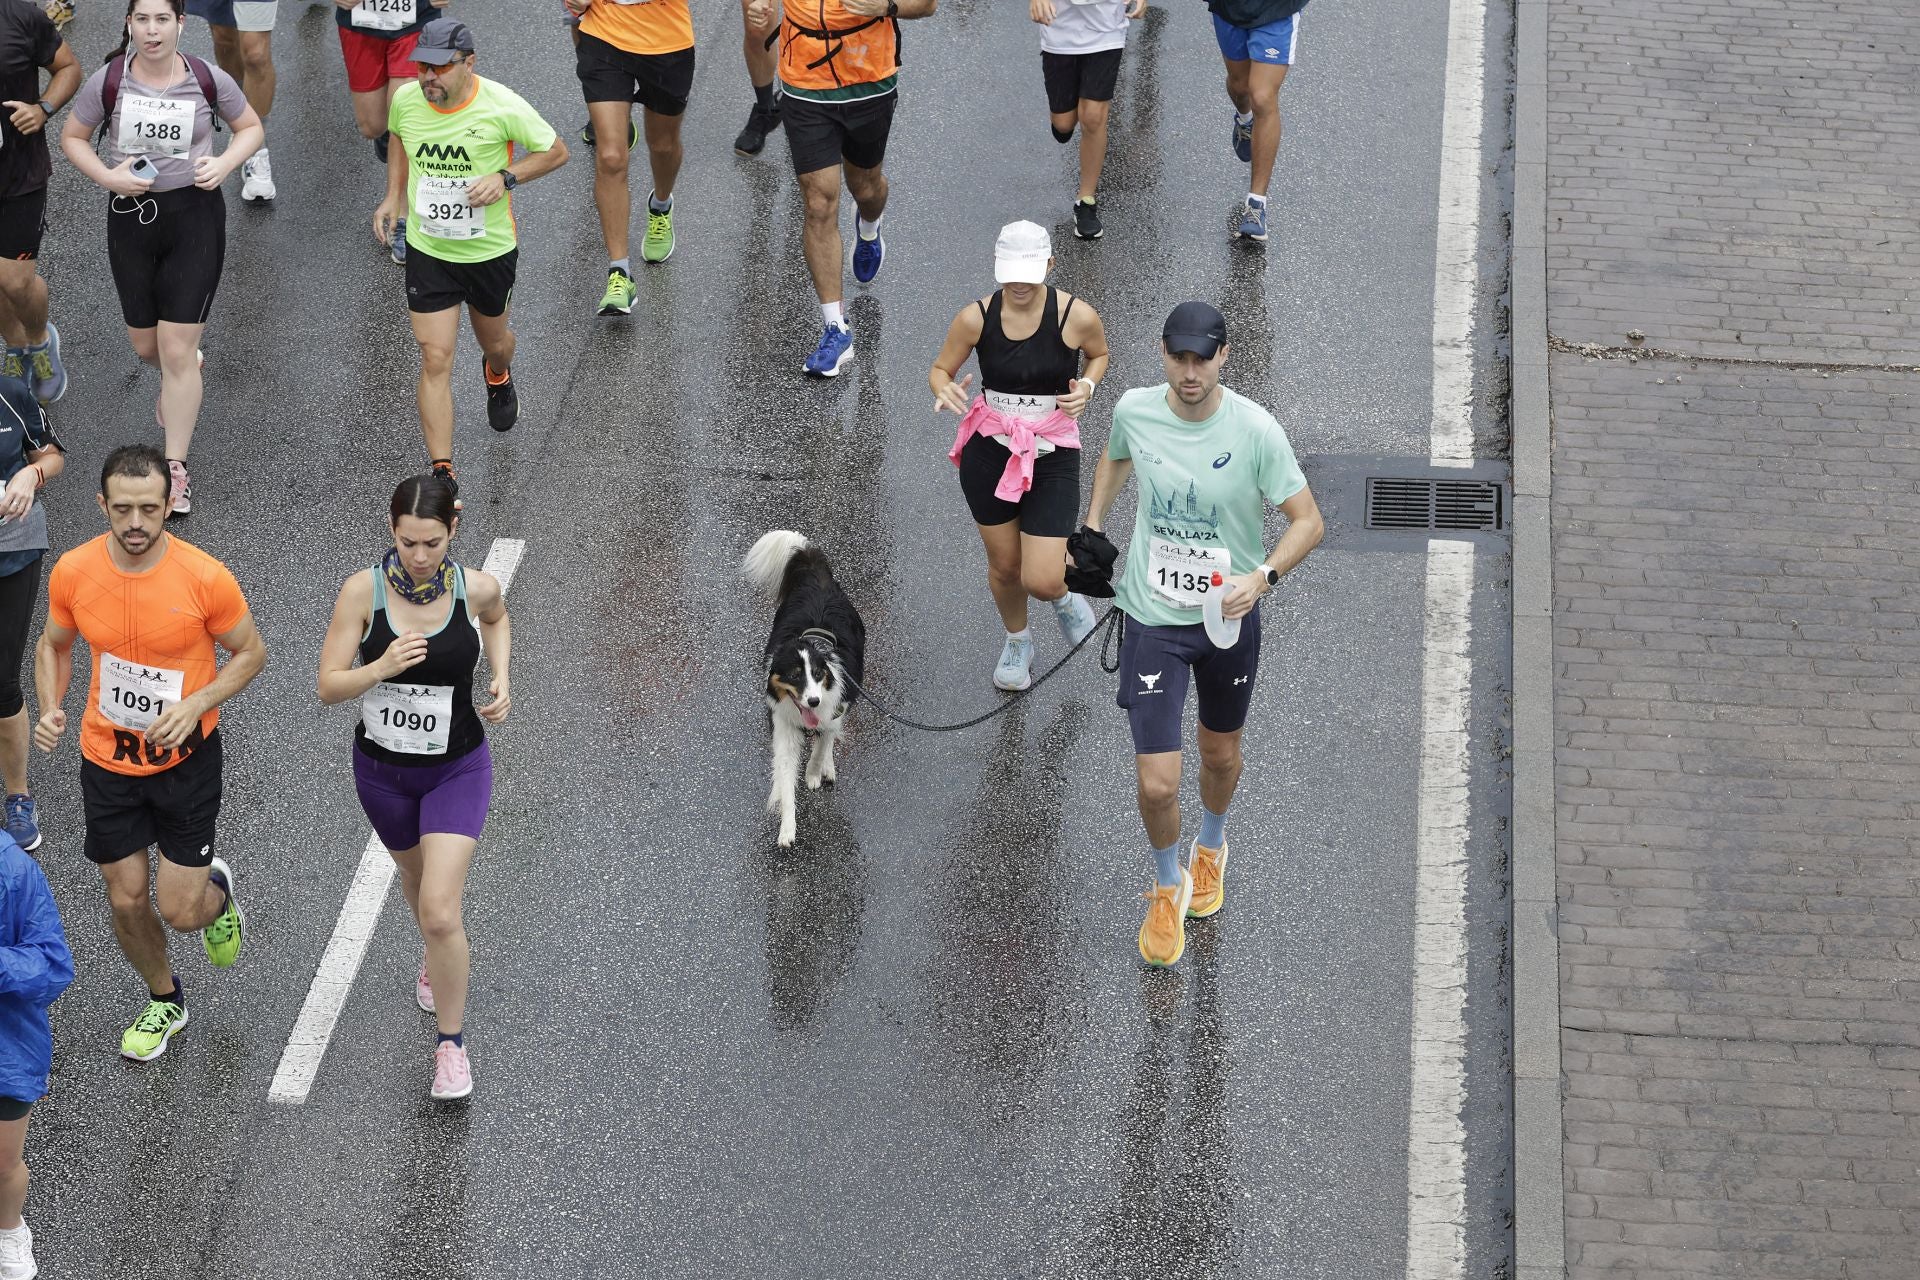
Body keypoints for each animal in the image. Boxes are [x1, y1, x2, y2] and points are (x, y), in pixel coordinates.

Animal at [737, 533, 867, 852]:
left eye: (818, 674)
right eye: (795, 676)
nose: (813, 700)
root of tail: (818, 576)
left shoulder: (834, 706)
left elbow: (822, 745)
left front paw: (813, 773)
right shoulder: (783, 725)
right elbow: (785, 776)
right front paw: (787, 827)